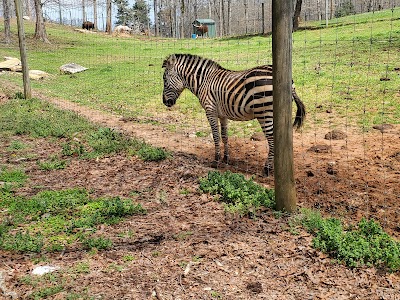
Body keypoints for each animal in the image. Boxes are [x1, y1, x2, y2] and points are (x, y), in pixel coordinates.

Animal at [161, 54, 304, 176]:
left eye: (164, 80)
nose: (165, 102)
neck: (203, 81)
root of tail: (290, 83)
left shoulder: (210, 111)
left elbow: (216, 136)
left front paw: (216, 161)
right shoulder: (222, 115)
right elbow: (225, 136)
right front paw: (226, 158)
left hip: (264, 114)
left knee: (272, 140)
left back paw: (267, 169)